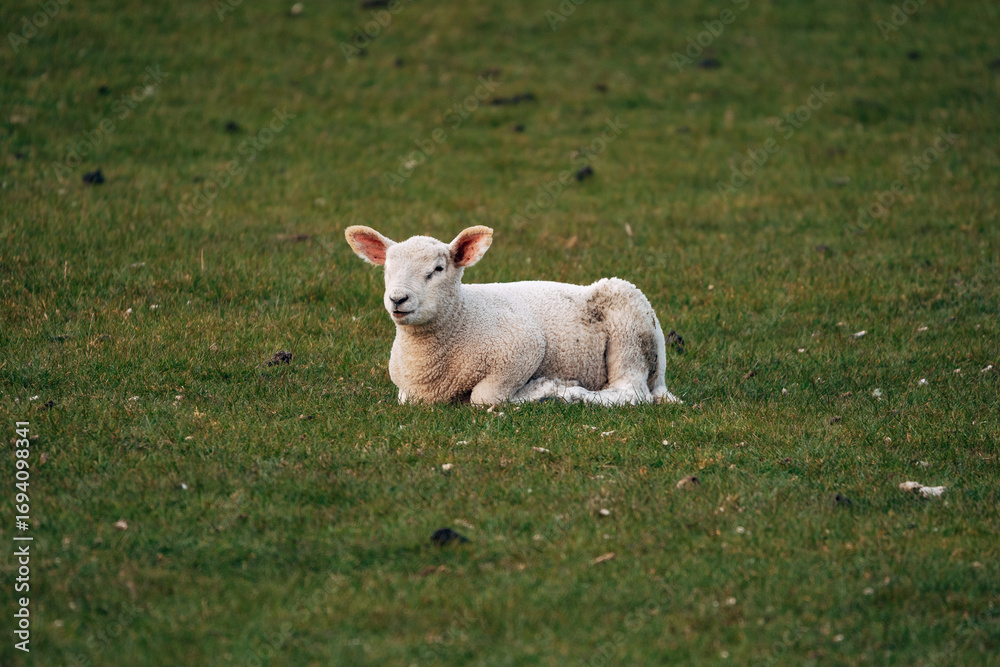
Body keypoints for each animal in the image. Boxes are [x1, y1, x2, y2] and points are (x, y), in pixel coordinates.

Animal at [344, 225, 682, 406]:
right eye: (387, 269)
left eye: (437, 269)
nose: (398, 299)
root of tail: (662, 380)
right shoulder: (409, 392)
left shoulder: (522, 348)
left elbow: (484, 397)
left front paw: (540, 389)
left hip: (630, 328)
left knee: (630, 392)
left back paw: (569, 392)